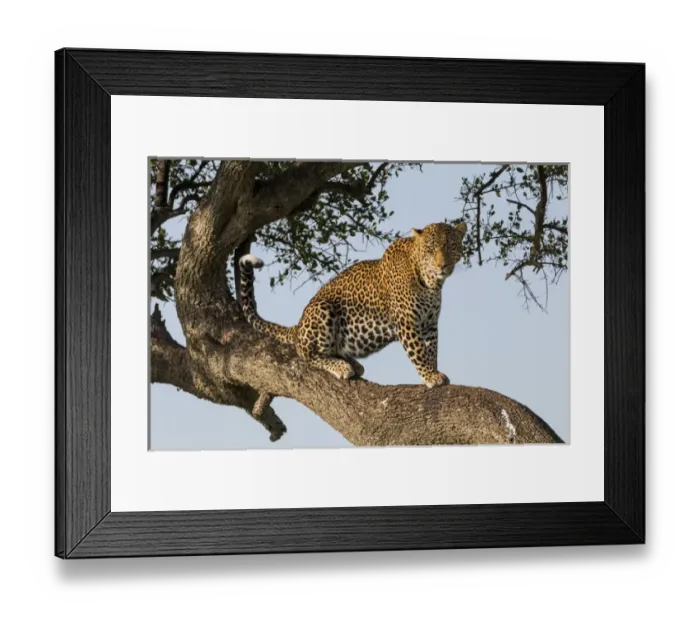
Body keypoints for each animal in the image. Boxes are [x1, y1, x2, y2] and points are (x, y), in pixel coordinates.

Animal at [238, 221, 467, 388]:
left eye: (451, 246)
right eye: (430, 249)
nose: (442, 265)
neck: (430, 283)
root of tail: (298, 326)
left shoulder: (429, 324)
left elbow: (432, 350)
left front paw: (434, 371)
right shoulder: (407, 322)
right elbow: (419, 351)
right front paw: (431, 377)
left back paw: (354, 364)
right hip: (322, 310)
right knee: (308, 356)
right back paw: (342, 367)